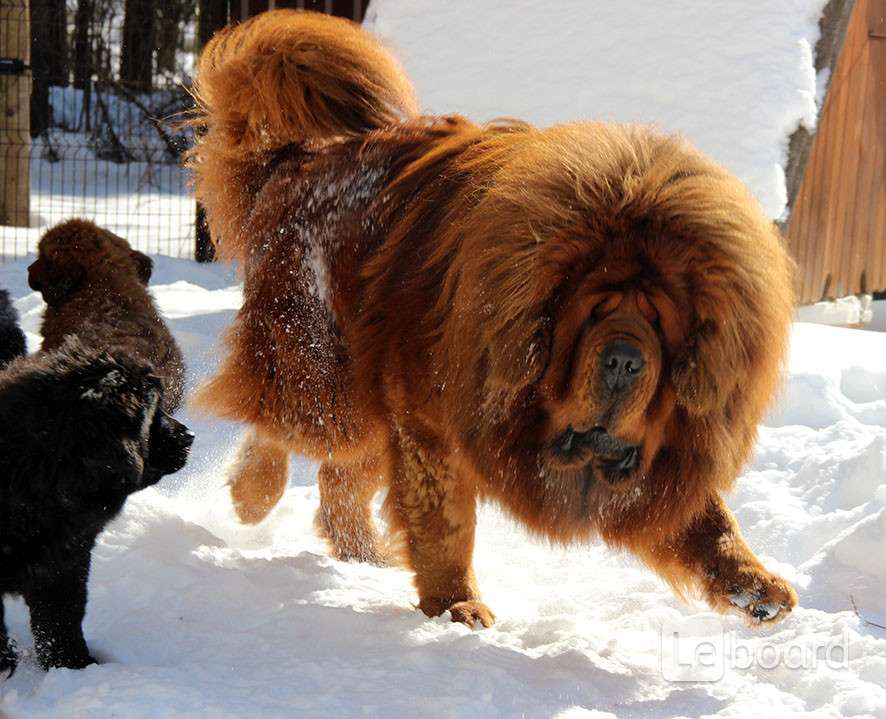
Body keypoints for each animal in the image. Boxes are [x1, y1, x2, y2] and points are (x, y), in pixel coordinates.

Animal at [187, 12, 796, 632]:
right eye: (595, 310)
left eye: (659, 322)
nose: (625, 360)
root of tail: (299, 158)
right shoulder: (430, 426)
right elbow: (446, 528)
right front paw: (457, 604)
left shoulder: (662, 450)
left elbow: (709, 523)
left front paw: (754, 587)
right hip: (330, 379)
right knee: (288, 426)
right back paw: (253, 494)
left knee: (341, 477)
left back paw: (363, 555)